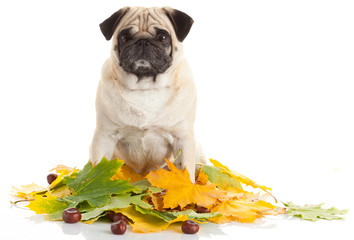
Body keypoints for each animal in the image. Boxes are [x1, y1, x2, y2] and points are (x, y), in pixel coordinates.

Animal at [89, 6, 205, 182]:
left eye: (163, 37)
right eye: (125, 37)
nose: (142, 41)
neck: (145, 87)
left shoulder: (183, 139)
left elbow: (185, 172)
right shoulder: (104, 137)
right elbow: (97, 168)